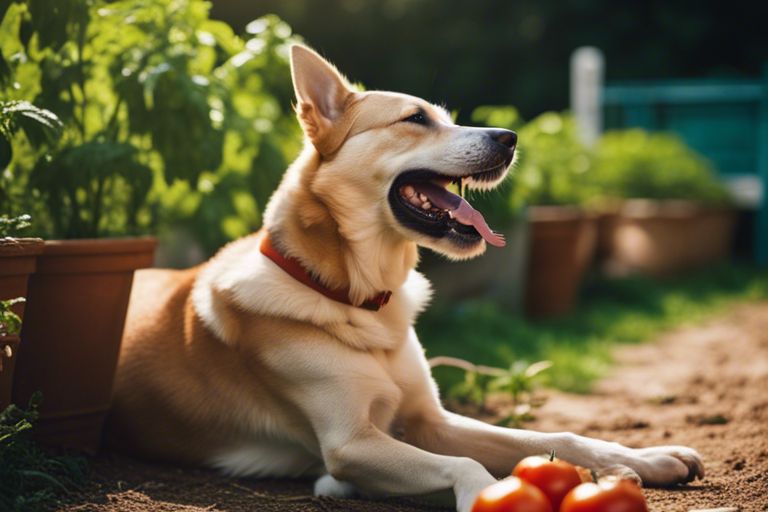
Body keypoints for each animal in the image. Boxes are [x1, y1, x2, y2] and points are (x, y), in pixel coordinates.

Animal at [111, 45, 704, 512]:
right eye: (415, 119)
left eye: (447, 116)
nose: (511, 137)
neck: (356, 299)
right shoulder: (352, 443)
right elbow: (463, 464)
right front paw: (485, 494)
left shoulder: (430, 420)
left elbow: (555, 434)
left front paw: (649, 458)